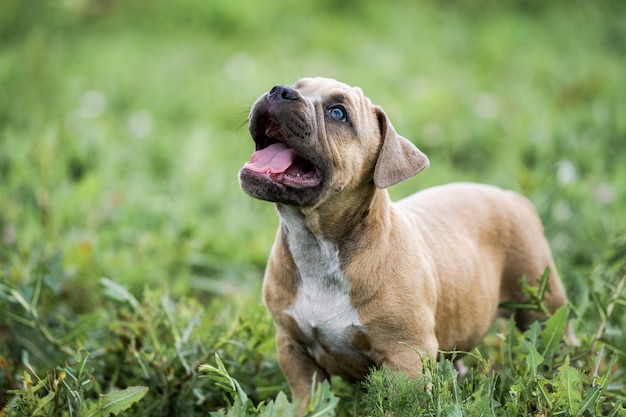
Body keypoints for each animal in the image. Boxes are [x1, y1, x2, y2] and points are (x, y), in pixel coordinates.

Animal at [236, 76, 572, 404]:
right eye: (296, 85)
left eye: (338, 113)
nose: (279, 90)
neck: (318, 245)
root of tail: (512, 197)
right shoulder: (294, 349)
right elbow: (308, 399)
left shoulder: (405, 357)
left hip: (541, 300)